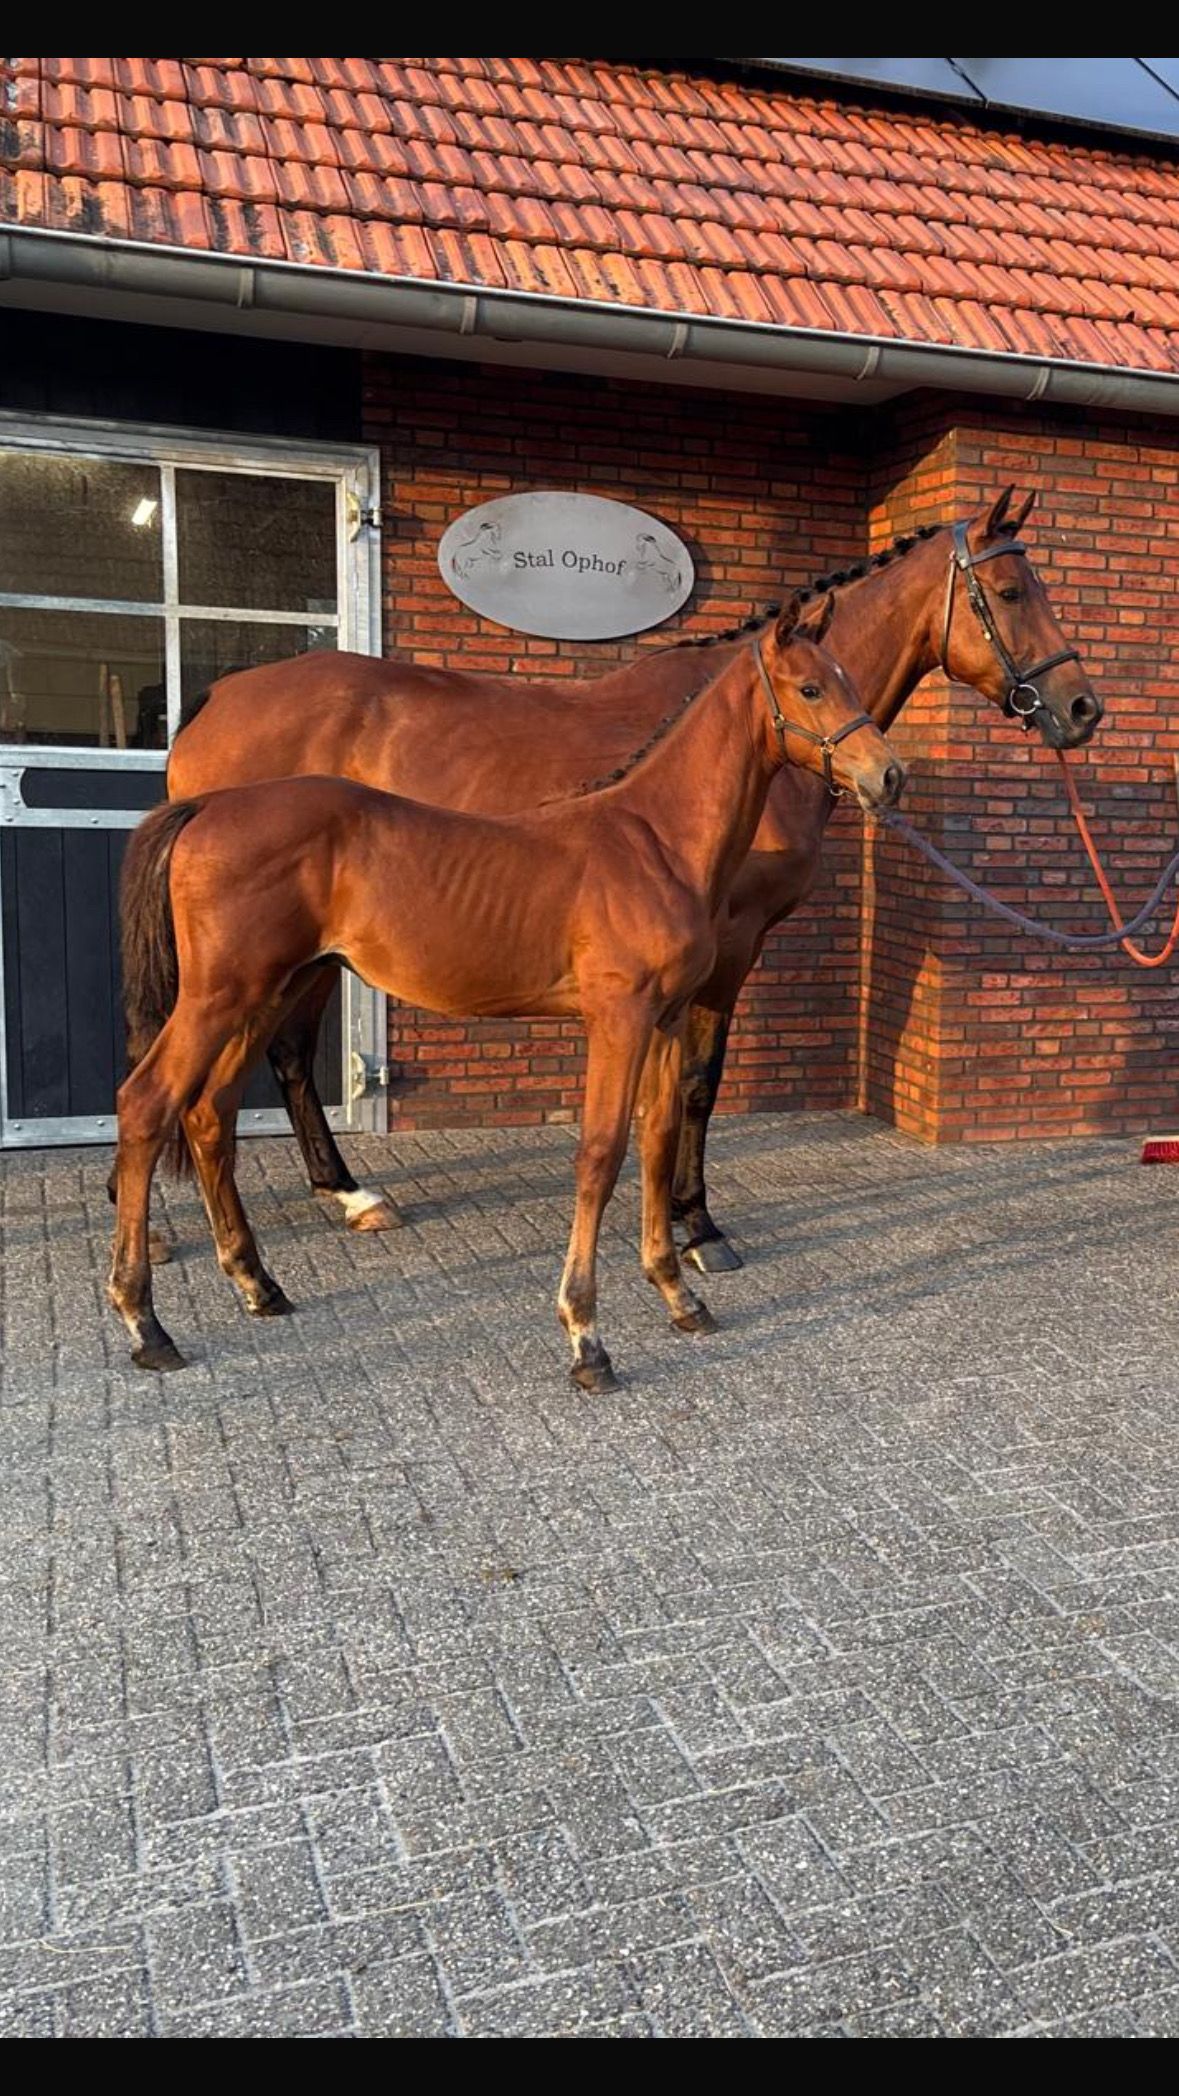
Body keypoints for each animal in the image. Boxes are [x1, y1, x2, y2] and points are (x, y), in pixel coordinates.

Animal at [110, 597, 906, 1390]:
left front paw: (678, 1293)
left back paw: (257, 1283)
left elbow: (657, 1137)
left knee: (209, 1113)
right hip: (220, 995)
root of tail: (207, 810)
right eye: (811, 688)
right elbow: (600, 1154)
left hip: (268, 991)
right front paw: (585, 1335)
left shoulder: (669, 1017)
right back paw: (146, 1322)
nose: (889, 775)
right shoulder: (618, 1016)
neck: (655, 840)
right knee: (147, 1103)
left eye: (850, 680)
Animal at [165, 485, 1102, 1266]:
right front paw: (696, 1226)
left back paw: (344, 1195)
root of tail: (218, 700)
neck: (742, 741)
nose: (1080, 708)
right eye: (1011, 591)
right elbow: (695, 1083)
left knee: (279, 1054)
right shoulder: (729, 943)